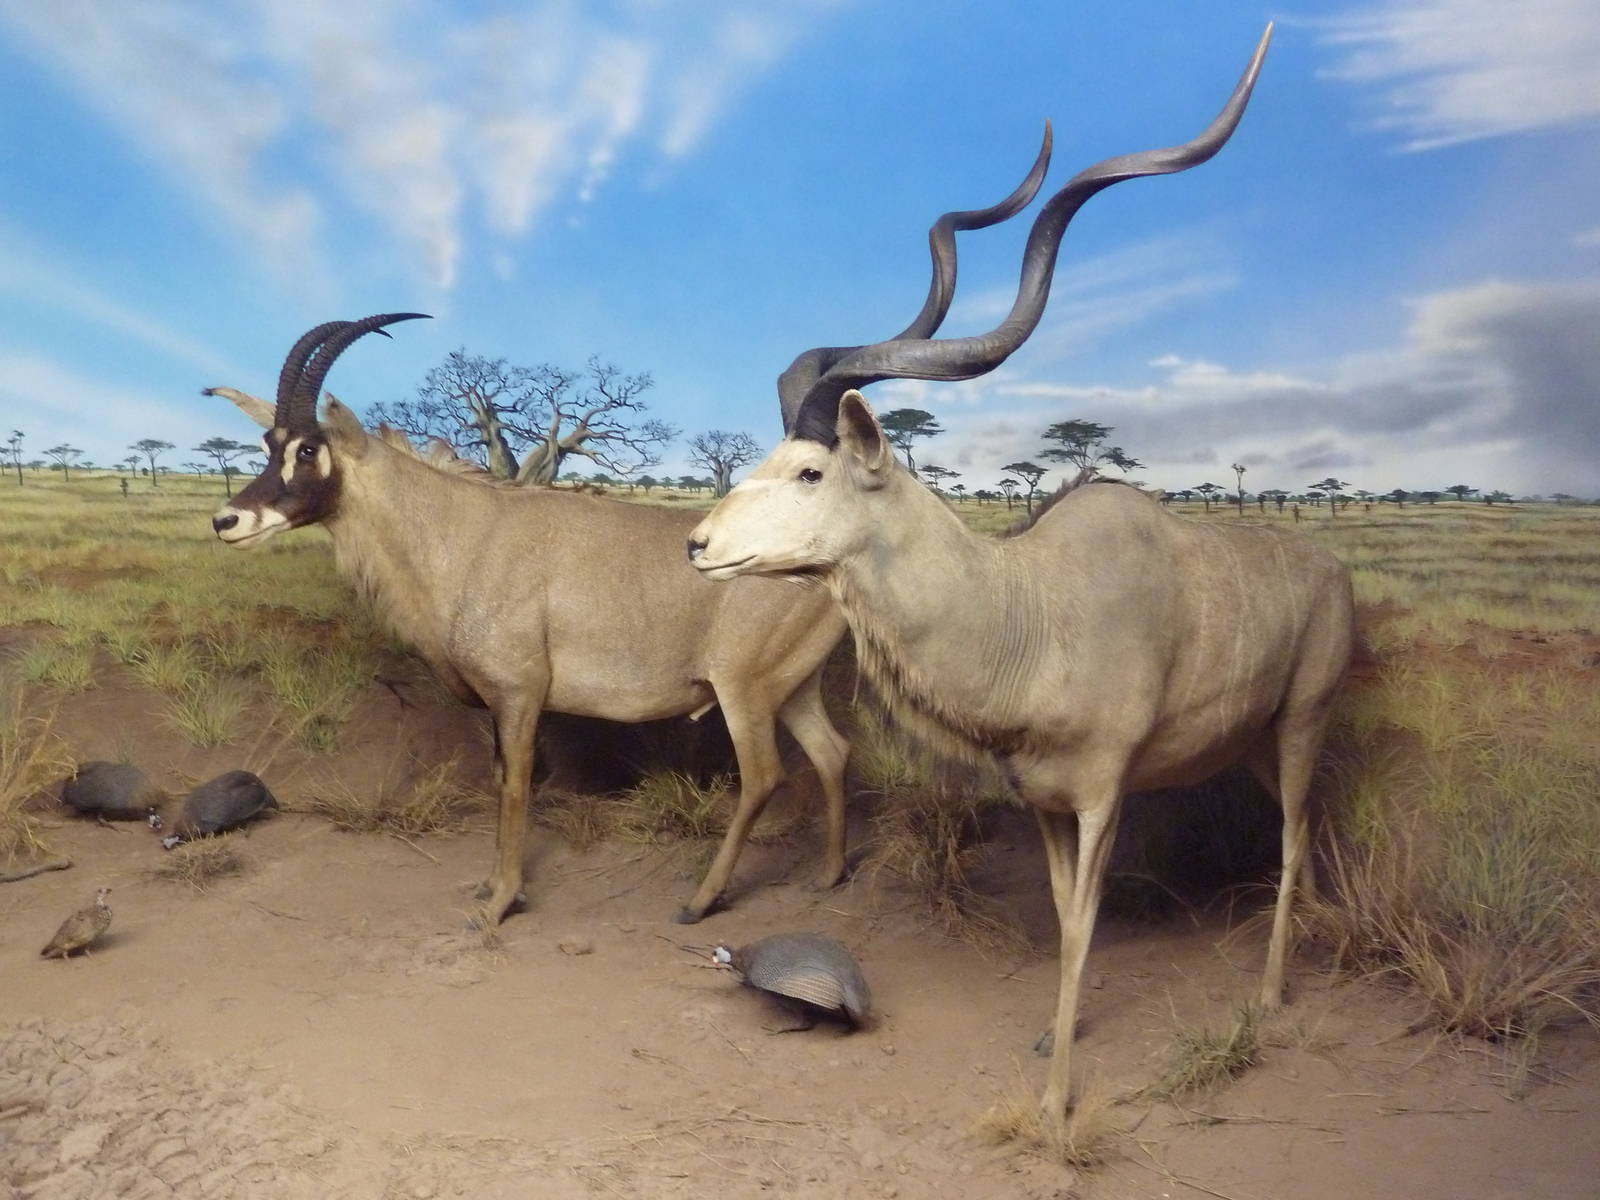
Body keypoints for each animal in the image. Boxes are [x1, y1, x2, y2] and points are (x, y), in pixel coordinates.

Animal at [202, 133, 1051, 926]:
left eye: (308, 448)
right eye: (268, 443)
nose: (227, 518)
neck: (464, 530)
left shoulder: (521, 696)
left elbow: (516, 787)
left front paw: (500, 900)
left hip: (743, 690)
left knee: (766, 776)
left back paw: (702, 900)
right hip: (794, 688)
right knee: (833, 754)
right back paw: (829, 873)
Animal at [688, 25, 1354, 1118]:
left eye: (811, 470)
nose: (698, 546)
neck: (1029, 612)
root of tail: (1332, 572)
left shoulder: (1103, 793)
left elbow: (1084, 924)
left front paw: (1056, 1104)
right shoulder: (1044, 801)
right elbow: (1058, 912)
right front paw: (1052, 1041)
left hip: (1302, 724)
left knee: (1298, 839)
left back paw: (1266, 1000)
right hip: (1255, 741)